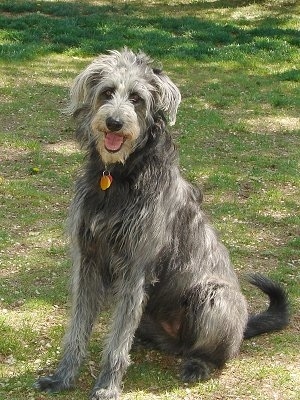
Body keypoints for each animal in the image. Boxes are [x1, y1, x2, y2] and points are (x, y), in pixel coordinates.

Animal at [34, 48, 288, 398]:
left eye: (137, 98)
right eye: (107, 92)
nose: (114, 123)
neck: (118, 176)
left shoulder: (135, 267)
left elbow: (115, 346)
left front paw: (107, 386)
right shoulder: (88, 260)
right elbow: (77, 329)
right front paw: (62, 377)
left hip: (214, 298)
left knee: (217, 352)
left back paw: (199, 363)